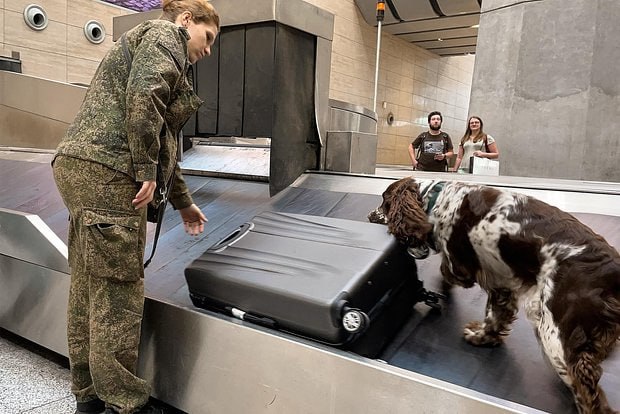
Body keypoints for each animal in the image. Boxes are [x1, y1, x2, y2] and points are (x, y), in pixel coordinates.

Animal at [372, 177, 620, 414]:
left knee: (588, 391)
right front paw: (484, 336)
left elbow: (447, 271)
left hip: (554, 333)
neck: (437, 198)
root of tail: (612, 271)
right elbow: (495, 315)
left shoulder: (460, 265)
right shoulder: (501, 281)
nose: (369, 215)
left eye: (384, 202)